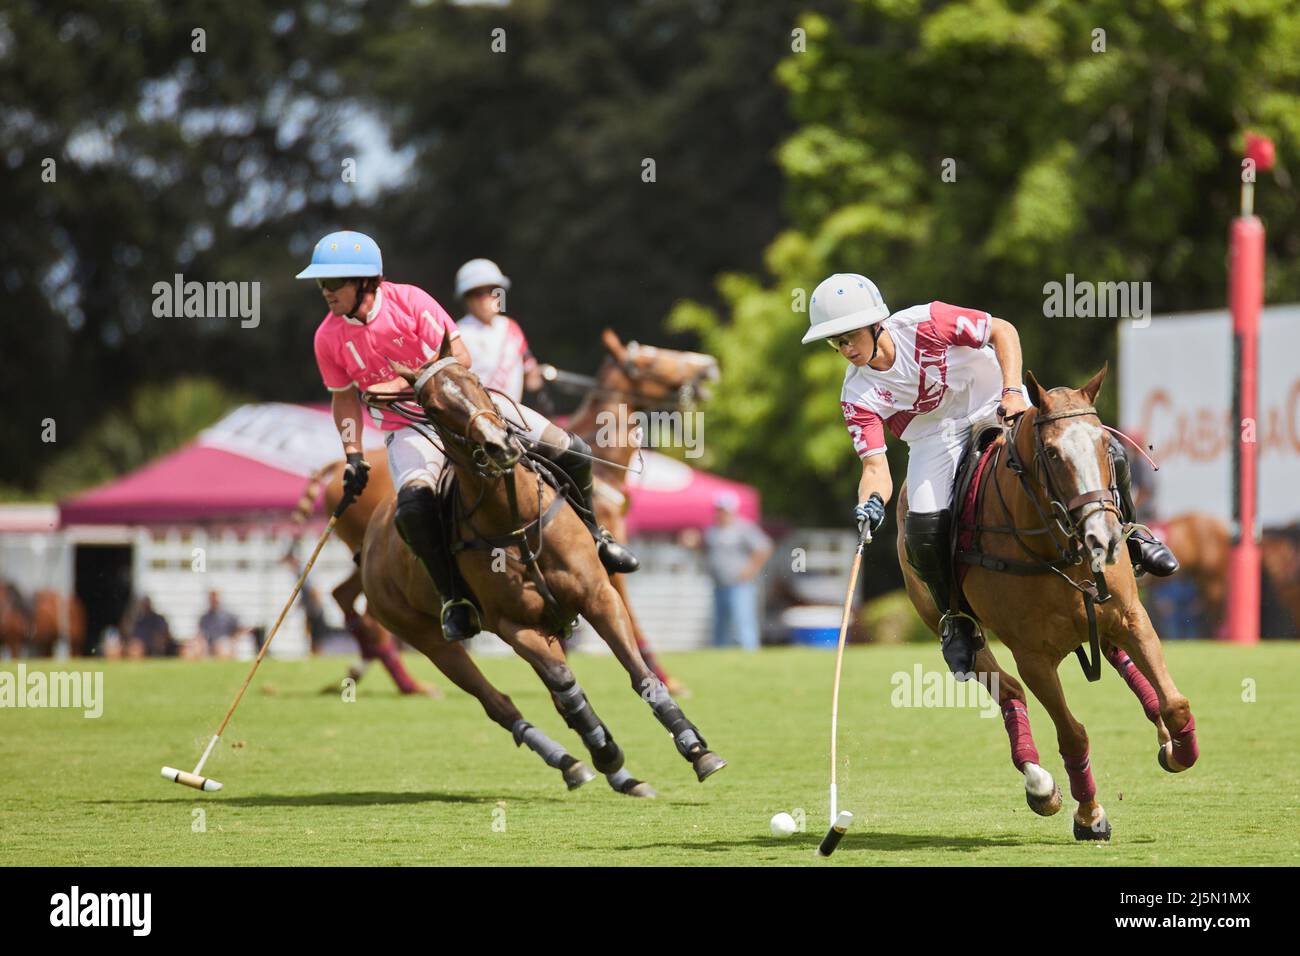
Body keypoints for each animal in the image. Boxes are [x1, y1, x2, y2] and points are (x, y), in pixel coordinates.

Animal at [351, 343, 728, 790]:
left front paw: (696, 747)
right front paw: (608, 753)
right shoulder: (514, 625)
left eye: (476, 383)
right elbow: (567, 684)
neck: (515, 518)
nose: (499, 445)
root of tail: (370, 542)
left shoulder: (598, 594)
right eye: (434, 406)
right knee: (498, 702)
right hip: (427, 637)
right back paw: (571, 761)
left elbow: (638, 671)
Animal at [904, 361, 1196, 842]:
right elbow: (1073, 734)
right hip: (956, 627)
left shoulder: (1132, 617)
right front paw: (1090, 816)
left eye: (1106, 446)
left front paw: (1180, 750)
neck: (1058, 546)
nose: (1104, 539)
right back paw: (1040, 785)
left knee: (1119, 660)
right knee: (1004, 686)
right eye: (1054, 455)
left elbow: (1176, 703)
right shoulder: (1033, 656)